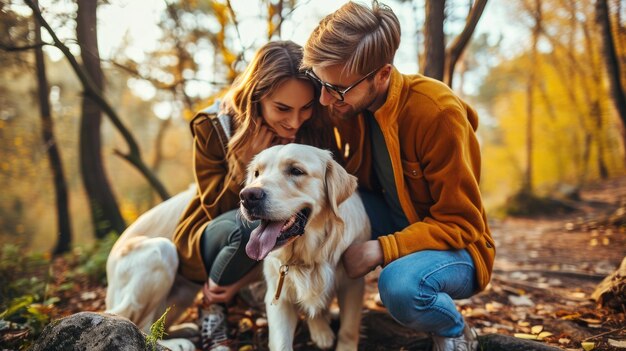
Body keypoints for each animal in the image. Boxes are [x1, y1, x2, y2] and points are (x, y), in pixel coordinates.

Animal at [238, 144, 366, 351]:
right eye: (257, 173)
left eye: (296, 171)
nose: (247, 196)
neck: (309, 254)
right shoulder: (277, 296)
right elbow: (282, 342)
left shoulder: (352, 285)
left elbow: (348, 329)